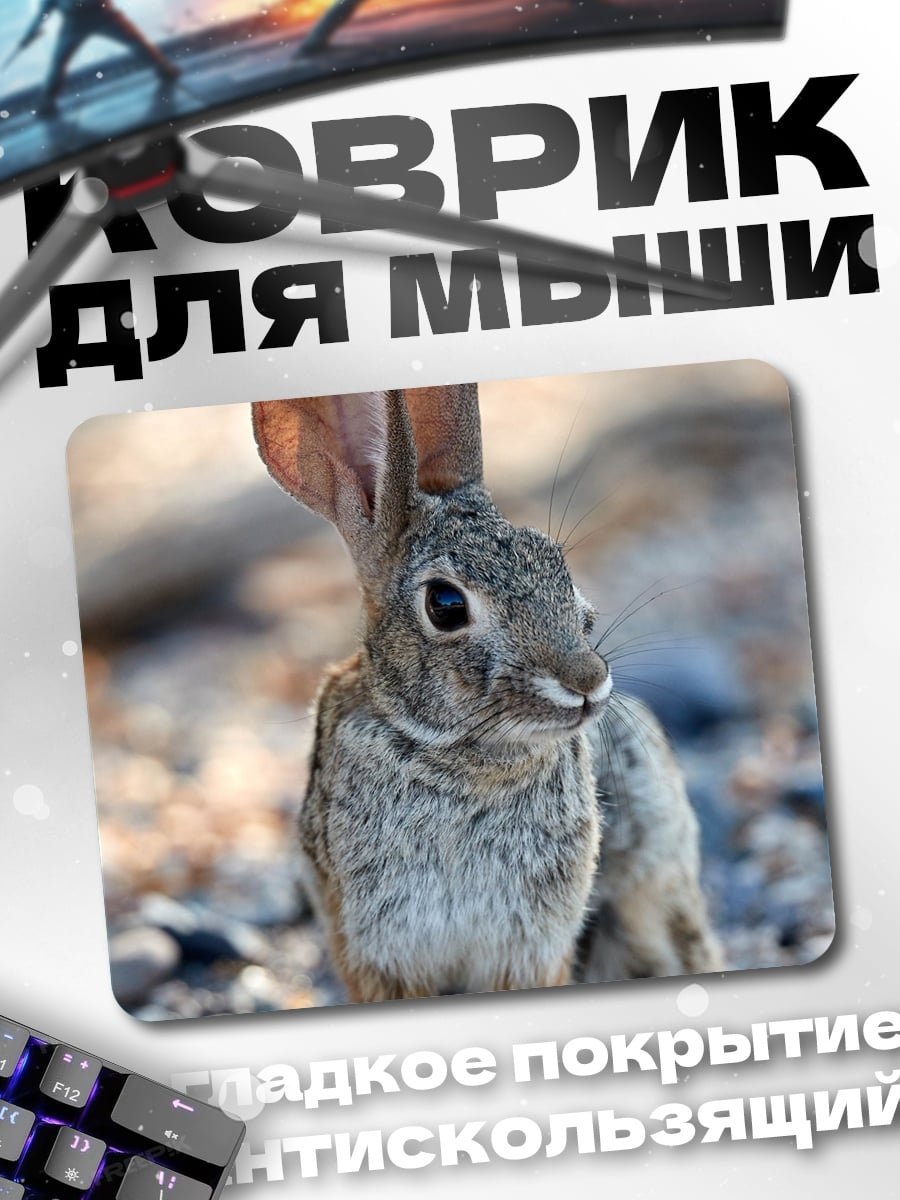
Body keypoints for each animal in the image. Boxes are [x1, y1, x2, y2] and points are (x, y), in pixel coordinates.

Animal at [252, 383, 722, 1002]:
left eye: (557, 566)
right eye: (446, 605)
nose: (587, 682)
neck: (462, 758)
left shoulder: (531, 947)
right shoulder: (375, 950)